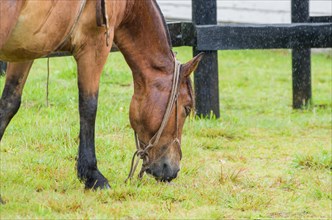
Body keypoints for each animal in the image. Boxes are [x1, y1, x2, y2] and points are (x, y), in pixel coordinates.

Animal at [0, 0, 202, 197]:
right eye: (186, 108)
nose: (174, 170)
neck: (127, 4)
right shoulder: (95, 46)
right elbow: (88, 107)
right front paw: (93, 175)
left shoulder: (26, 49)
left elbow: (9, 104)